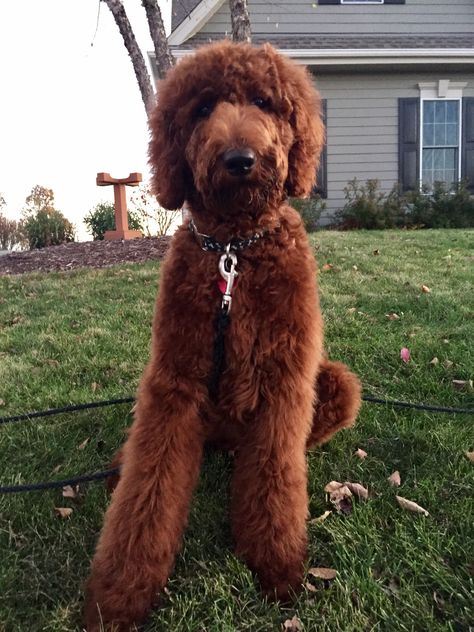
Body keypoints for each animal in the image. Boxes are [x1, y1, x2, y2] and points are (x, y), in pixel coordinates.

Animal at [84, 42, 360, 628]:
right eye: (204, 108)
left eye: (264, 102)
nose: (239, 160)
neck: (236, 250)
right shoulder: (174, 383)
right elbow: (148, 489)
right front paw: (118, 596)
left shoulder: (285, 381)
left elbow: (276, 477)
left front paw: (276, 565)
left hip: (336, 383)